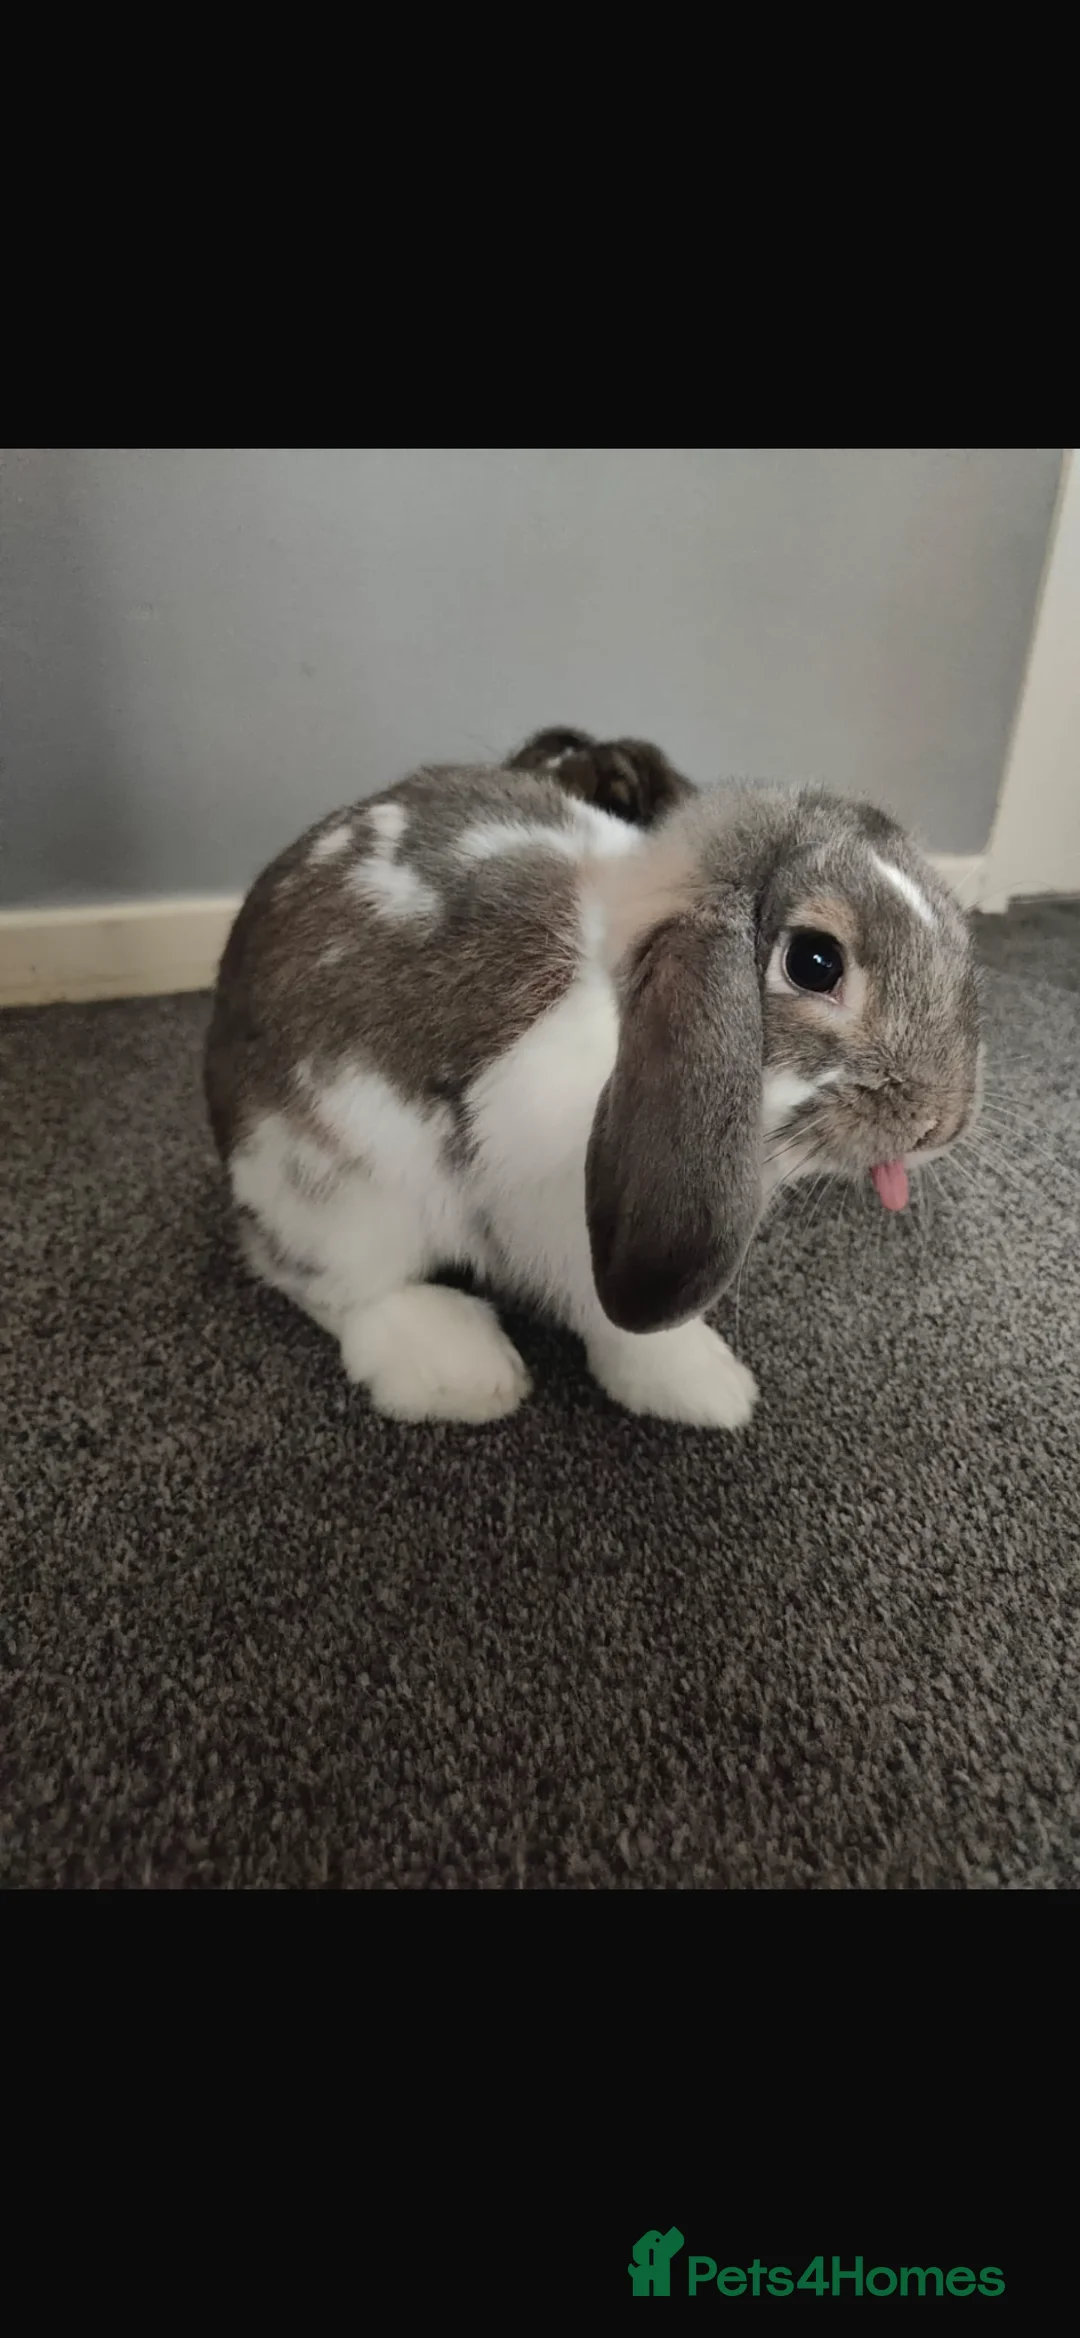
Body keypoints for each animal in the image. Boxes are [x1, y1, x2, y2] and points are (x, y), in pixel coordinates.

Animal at [205, 762, 981, 1427]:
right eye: (815, 963)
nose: (938, 1124)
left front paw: (707, 1384)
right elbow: (616, 1319)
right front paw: (703, 1387)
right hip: (343, 1194)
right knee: (331, 1285)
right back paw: (462, 1371)